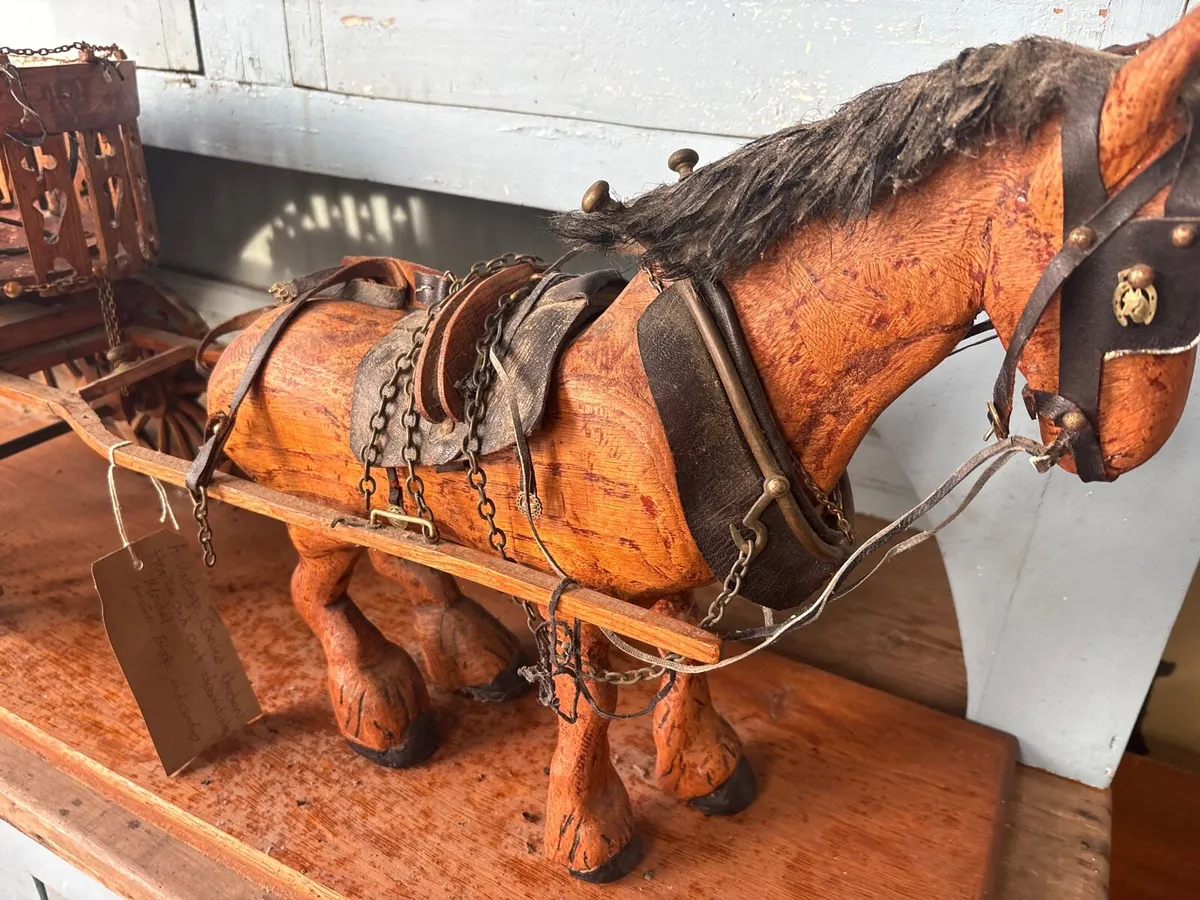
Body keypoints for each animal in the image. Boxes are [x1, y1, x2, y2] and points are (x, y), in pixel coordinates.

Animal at [205, 12, 1200, 883]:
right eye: (1143, 289)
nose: (1119, 450)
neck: (721, 362)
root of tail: (251, 330)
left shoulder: (677, 587)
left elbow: (688, 671)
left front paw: (703, 769)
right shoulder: (581, 598)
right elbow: (594, 711)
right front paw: (590, 829)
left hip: (390, 504)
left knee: (412, 564)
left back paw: (473, 658)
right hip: (311, 514)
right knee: (315, 592)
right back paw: (379, 710)